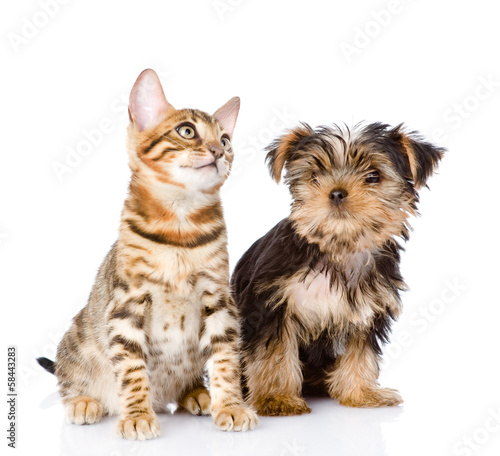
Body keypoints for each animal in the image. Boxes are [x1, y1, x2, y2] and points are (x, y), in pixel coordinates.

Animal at [36, 69, 258, 440]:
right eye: (187, 131)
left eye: (226, 139)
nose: (218, 151)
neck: (180, 230)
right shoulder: (127, 305)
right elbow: (132, 370)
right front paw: (137, 415)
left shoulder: (219, 300)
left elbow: (225, 358)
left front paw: (230, 406)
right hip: (77, 339)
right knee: (68, 379)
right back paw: (84, 402)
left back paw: (197, 393)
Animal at [231, 123, 446, 416]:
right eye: (314, 176)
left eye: (373, 176)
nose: (336, 192)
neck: (340, 248)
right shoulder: (269, 305)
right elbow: (273, 352)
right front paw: (277, 398)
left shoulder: (367, 309)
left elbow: (361, 352)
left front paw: (361, 393)